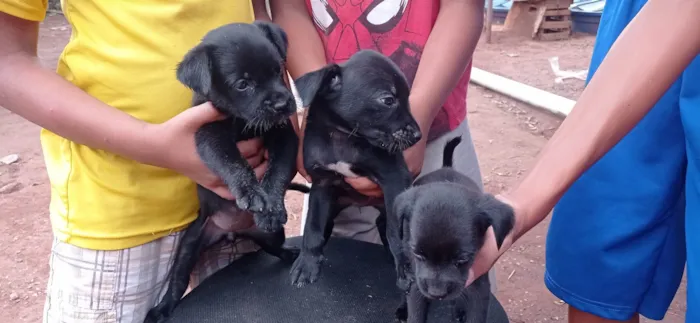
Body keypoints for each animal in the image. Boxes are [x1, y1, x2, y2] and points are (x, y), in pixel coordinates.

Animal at [288, 50, 422, 288]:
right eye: (388, 100)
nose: (418, 135)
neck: (345, 136)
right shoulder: (322, 183)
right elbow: (313, 227)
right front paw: (307, 263)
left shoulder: (395, 179)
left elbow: (396, 231)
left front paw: (405, 267)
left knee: (385, 222)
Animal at [394, 137, 516, 323]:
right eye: (419, 255)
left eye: (462, 260)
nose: (436, 293)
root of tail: (447, 167)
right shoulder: (416, 282)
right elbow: (415, 311)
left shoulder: (479, 288)